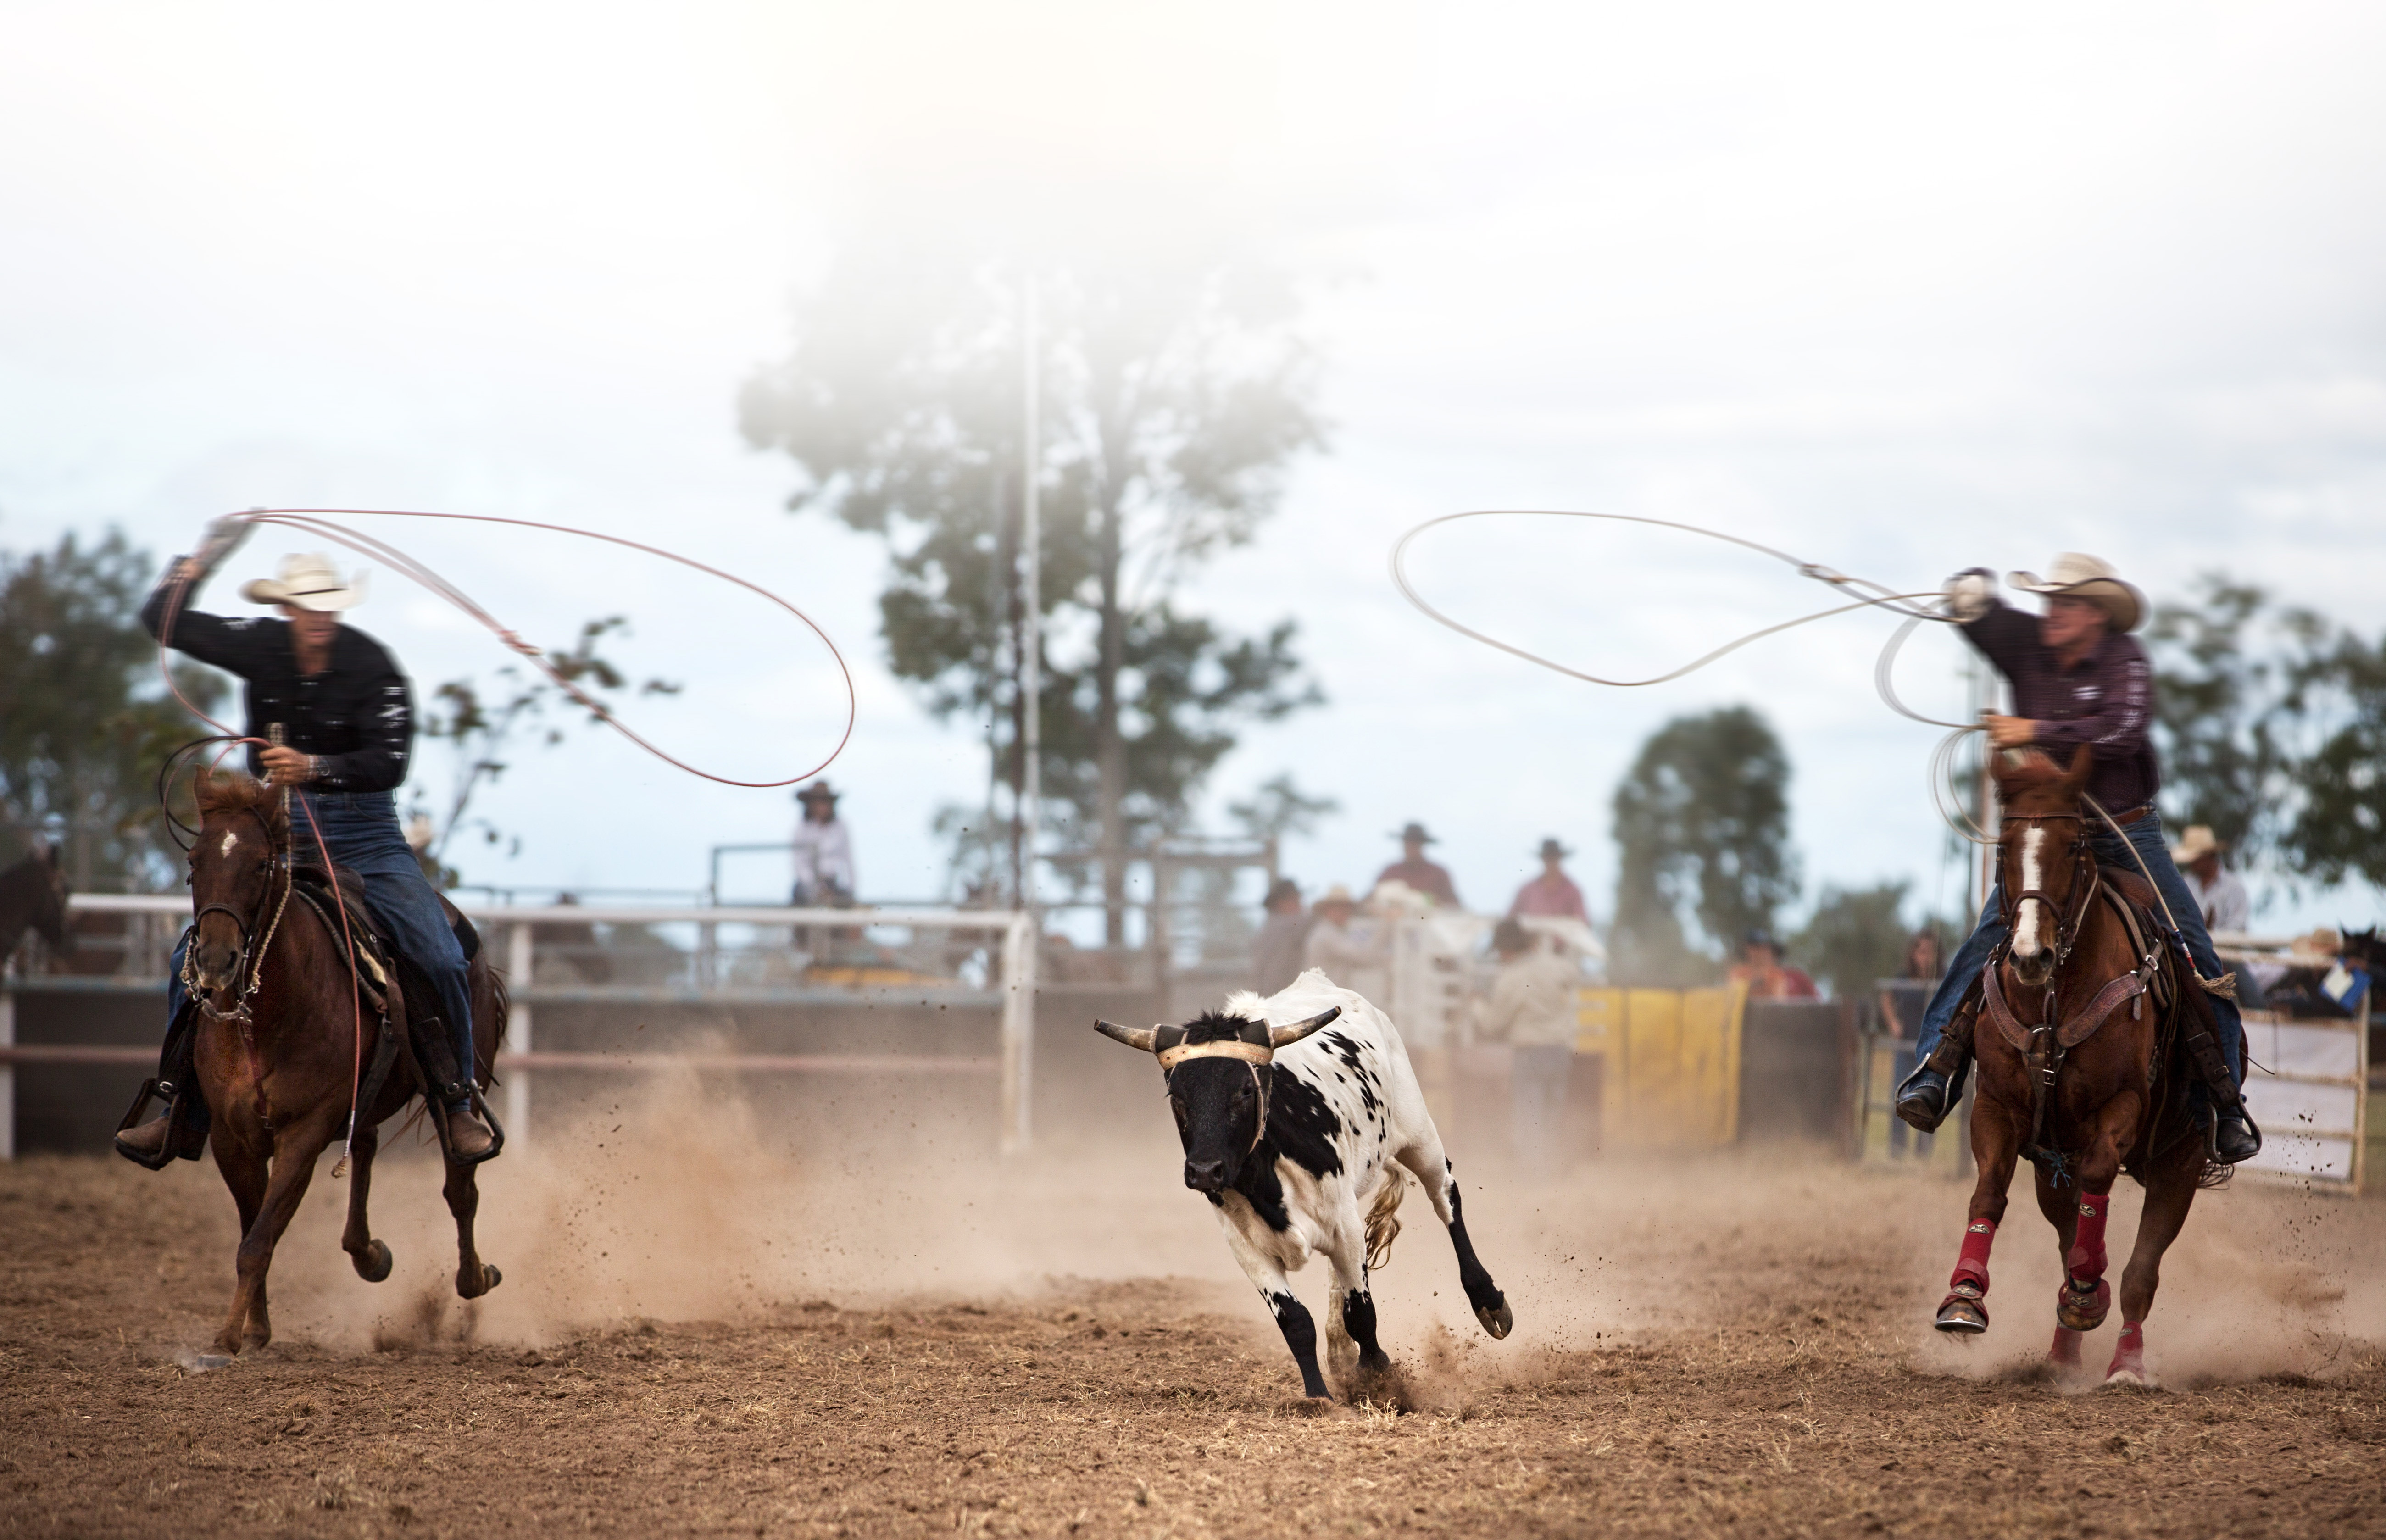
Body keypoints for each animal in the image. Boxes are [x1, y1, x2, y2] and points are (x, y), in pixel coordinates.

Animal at [186, 773, 503, 1356]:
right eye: (194, 861)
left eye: (261, 865)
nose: (216, 961)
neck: (267, 1018)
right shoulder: (230, 1136)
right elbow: (255, 1230)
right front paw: (255, 1327)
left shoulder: (304, 1132)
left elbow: (258, 1238)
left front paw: (228, 1337)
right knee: (367, 1147)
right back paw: (368, 1254)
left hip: (458, 1091)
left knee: (460, 1186)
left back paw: (472, 1280)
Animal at [1093, 974, 1508, 1394]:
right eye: (1176, 1095)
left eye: (1245, 1090)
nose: (1205, 1171)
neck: (1266, 1184)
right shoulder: (1245, 1244)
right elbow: (1295, 1320)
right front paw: (1318, 1395)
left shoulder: (1344, 1226)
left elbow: (1362, 1312)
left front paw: (1378, 1374)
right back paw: (1339, 1352)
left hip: (1419, 1135)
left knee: (1445, 1197)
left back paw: (1487, 1300)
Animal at [1937, 745, 2214, 1384]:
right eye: (2003, 848)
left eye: (2071, 846)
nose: (2028, 956)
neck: (2052, 998)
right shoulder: (1997, 1108)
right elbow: (1987, 1192)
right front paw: (1964, 1296)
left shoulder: (2121, 1107)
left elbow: (2097, 1177)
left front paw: (2090, 1290)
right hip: (2049, 1169)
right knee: (2069, 1239)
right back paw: (2062, 1356)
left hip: (2180, 1163)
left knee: (2141, 1273)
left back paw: (2125, 1361)